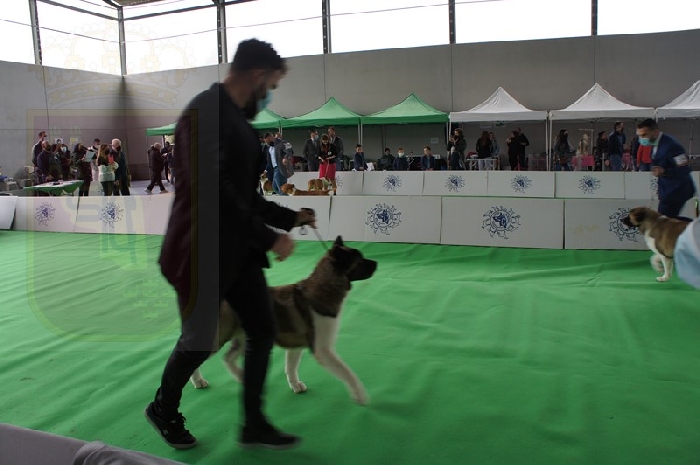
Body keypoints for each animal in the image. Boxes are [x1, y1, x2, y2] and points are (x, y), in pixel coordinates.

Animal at [190, 236, 378, 404]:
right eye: (360, 260)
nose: (376, 263)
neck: (324, 287)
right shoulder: (322, 350)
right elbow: (346, 372)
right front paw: (360, 395)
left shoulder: (295, 347)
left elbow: (291, 368)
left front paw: (295, 385)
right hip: (219, 337)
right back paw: (198, 381)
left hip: (245, 338)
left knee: (228, 359)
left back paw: (241, 377)